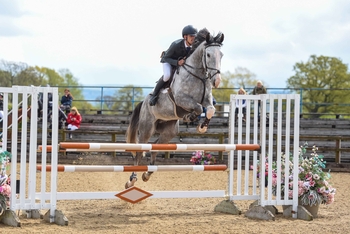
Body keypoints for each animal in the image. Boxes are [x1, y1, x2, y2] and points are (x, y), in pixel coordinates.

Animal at [125, 29, 224, 189]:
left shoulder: (207, 100)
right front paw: (190, 117)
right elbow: (197, 107)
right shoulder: (181, 99)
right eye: (208, 55)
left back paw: (147, 173)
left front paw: (201, 126)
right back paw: (132, 179)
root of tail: (143, 102)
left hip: (169, 130)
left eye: (221, 55)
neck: (198, 75)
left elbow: (210, 109)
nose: (217, 81)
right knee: (141, 150)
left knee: (156, 146)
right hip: (147, 127)